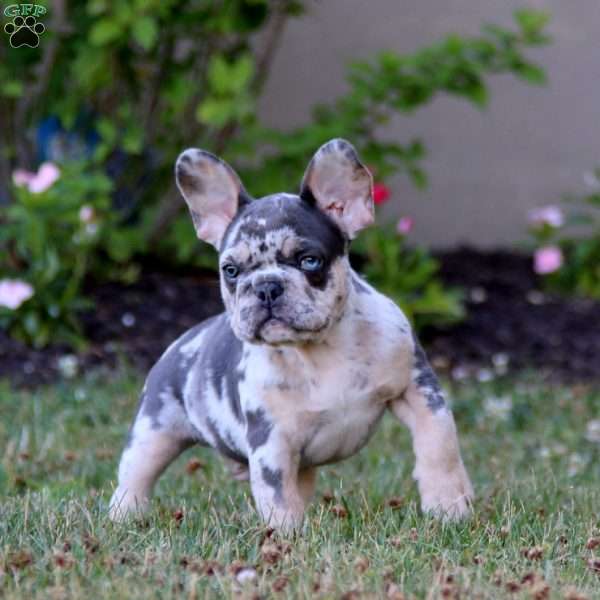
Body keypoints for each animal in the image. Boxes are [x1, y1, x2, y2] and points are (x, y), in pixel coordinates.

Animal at [109, 139, 474, 528]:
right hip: (154, 428)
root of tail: (181, 342)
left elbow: (440, 444)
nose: (267, 286)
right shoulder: (272, 441)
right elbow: (277, 494)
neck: (320, 348)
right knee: (136, 474)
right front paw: (287, 534)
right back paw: (124, 514)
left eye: (309, 260)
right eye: (230, 270)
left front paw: (449, 505)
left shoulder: (418, 389)